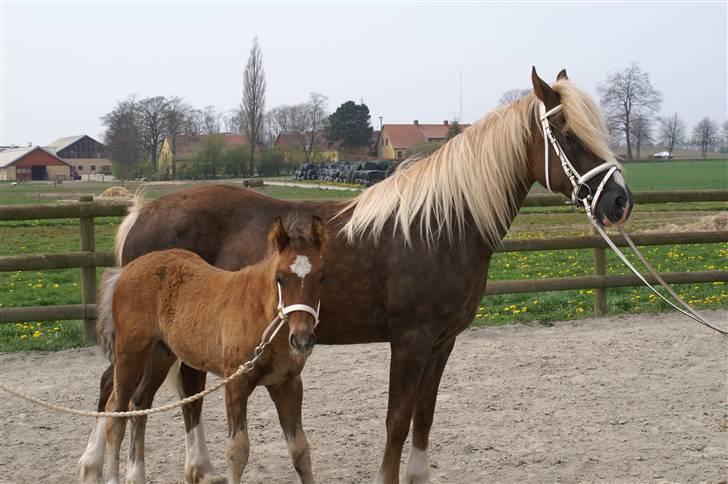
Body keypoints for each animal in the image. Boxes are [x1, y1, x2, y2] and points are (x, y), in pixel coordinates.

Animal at [79, 217, 328, 482]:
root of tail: (126, 271)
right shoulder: (236, 383)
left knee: (138, 404)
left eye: (322, 277)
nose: (302, 339)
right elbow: (238, 451)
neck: (260, 316)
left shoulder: (288, 384)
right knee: (115, 415)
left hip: (161, 355)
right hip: (130, 353)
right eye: (280, 278)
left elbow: (300, 450)